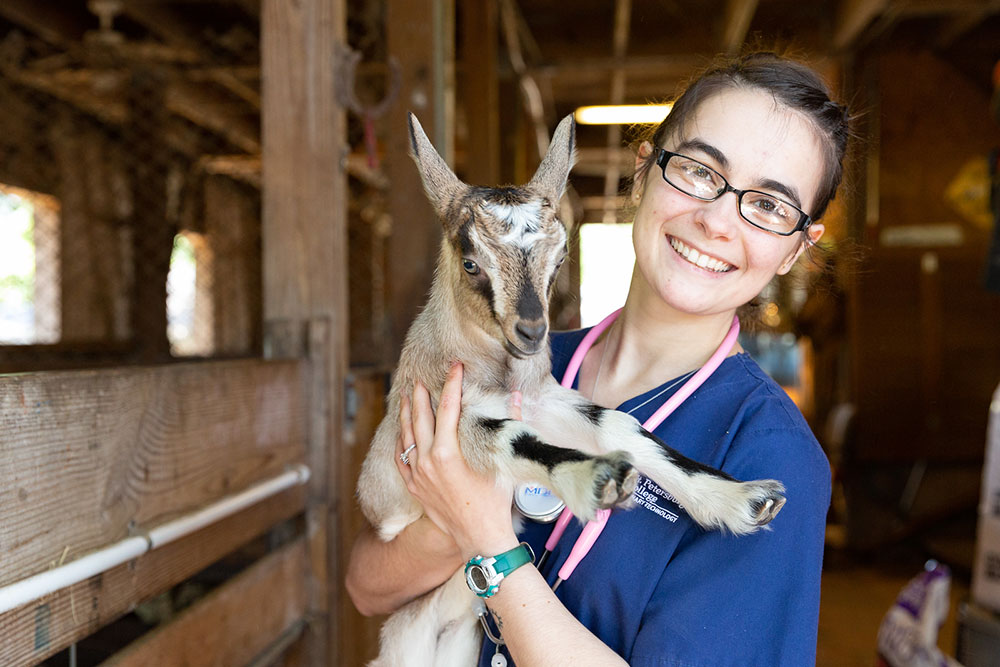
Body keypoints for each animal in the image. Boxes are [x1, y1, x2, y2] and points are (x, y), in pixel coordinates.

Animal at [356, 112, 784, 664]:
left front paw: (743, 500)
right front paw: (598, 480)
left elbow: (619, 424)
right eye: (471, 262)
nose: (532, 331)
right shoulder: (451, 420)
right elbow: (514, 438)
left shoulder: (549, 402)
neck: (502, 375)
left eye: (558, 259)